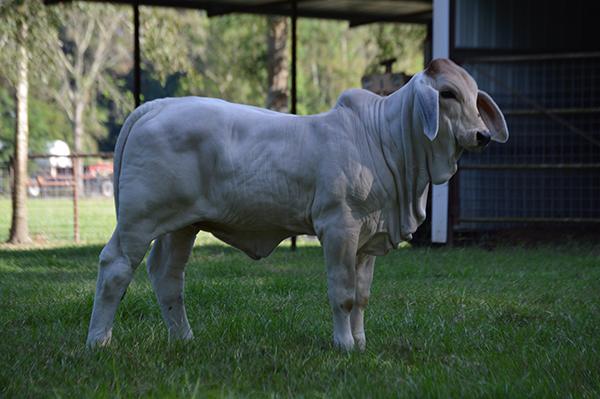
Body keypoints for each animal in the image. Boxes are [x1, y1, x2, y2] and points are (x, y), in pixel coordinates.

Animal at [85, 58, 506, 350]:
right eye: (447, 94)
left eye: (475, 96)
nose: (482, 135)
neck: (386, 140)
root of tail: (156, 106)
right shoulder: (338, 227)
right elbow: (344, 294)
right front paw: (344, 345)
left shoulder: (368, 238)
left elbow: (363, 296)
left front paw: (362, 342)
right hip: (139, 219)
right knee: (116, 266)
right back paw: (99, 342)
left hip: (182, 225)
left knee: (168, 276)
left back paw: (184, 338)